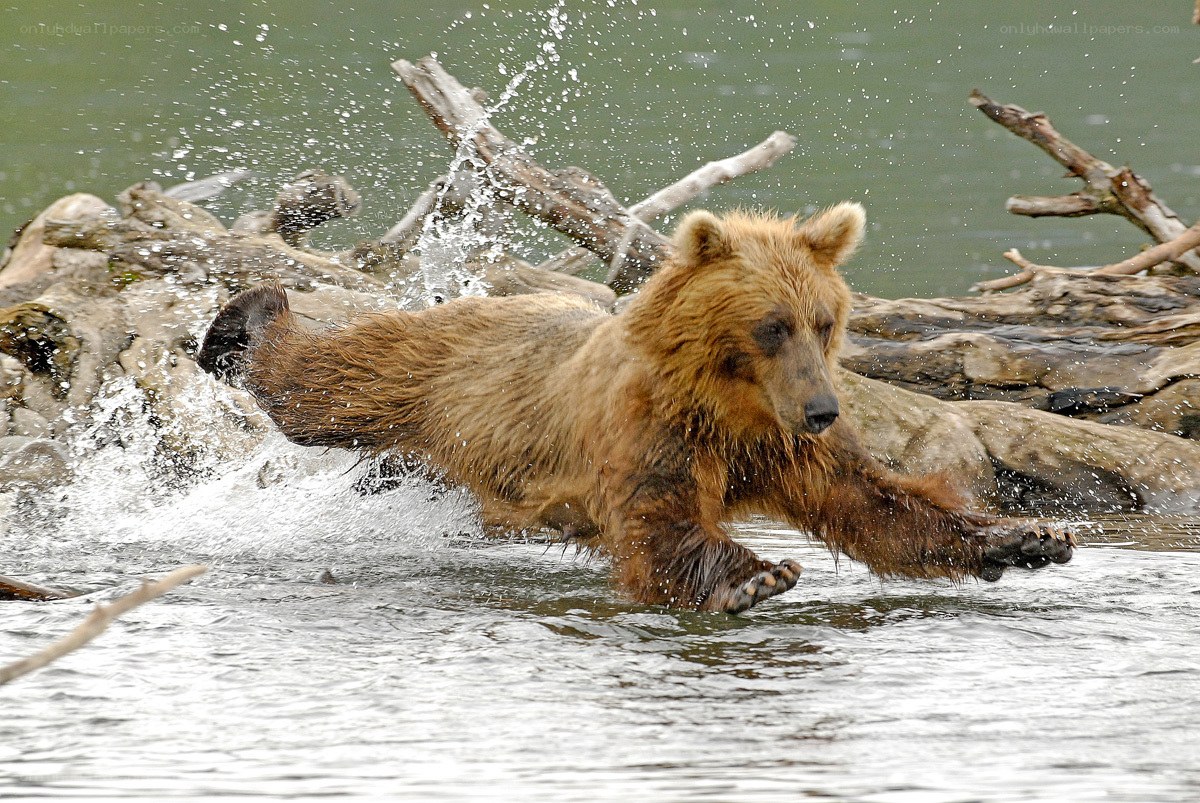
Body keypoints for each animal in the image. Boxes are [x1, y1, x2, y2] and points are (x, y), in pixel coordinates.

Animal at [197, 204, 1074, 613]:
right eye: (773, 324)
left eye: (826, 319)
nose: (824, 407)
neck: (731, 405)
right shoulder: (652, 426)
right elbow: (659, 521)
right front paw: (758, 575)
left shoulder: (784, 446)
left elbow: (876, 502)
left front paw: (1028, 536)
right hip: (427, 370)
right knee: (320, 385)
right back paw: (243, 316)